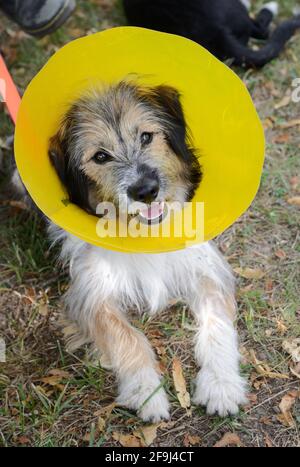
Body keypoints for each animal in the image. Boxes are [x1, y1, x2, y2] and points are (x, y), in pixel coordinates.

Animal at [12, 81, 247, 424]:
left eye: (146, 137)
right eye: (100, 156)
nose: (145, 191)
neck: (144, 234)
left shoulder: (205, 270)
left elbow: (217, 325)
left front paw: (221, 385)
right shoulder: (91, 294)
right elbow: (128, 336)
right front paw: (146, 393)